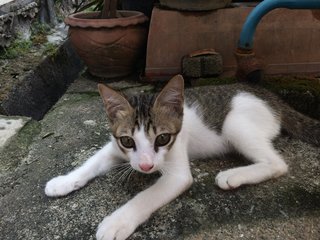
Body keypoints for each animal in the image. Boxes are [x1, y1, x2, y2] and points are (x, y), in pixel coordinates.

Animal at [45, 74, 320, 239]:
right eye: (128, 141)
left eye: (162, 138)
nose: (146, 166)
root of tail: (272, 96)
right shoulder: (114, 146)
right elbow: (91, 161)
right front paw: (64, 181)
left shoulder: (176, 171)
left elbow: (146, 197)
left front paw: (117, 221)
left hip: (235, 123)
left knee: (277, 164)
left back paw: (233, 175)